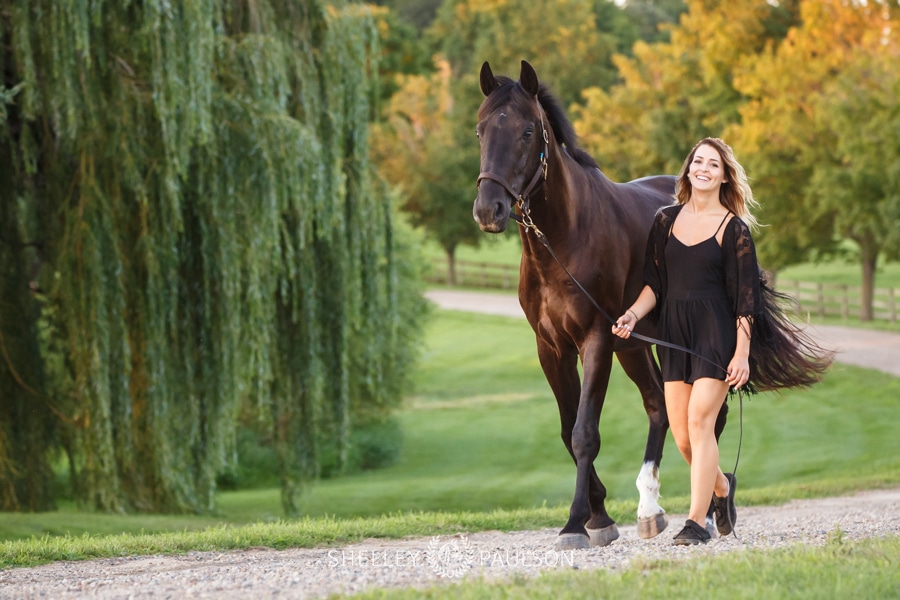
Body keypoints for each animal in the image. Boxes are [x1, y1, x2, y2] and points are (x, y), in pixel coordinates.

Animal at [472, 61, 684, 548]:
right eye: (479, 130)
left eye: (528, 131)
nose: (489, 210)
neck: (563, 241)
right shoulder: (551, 349)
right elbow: (569, 431)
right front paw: (598, 515)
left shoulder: (595, 341)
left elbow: (586, 432)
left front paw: (576, 522)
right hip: (634, 345)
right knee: (659, 406)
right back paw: (650, 510)